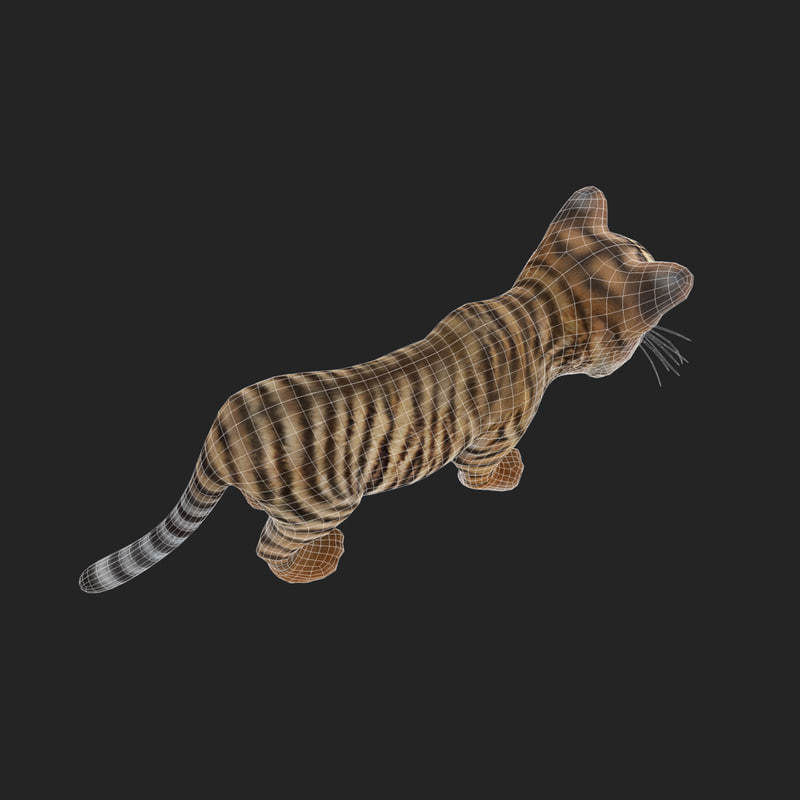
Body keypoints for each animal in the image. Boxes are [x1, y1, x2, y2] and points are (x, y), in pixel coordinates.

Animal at [79, 186, 693, 593]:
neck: (533, 308)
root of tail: (221, 434)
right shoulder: (486, 441)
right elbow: (483, 470)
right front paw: (509, 475)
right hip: (323, 505)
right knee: (269, 547)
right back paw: (318, 563)